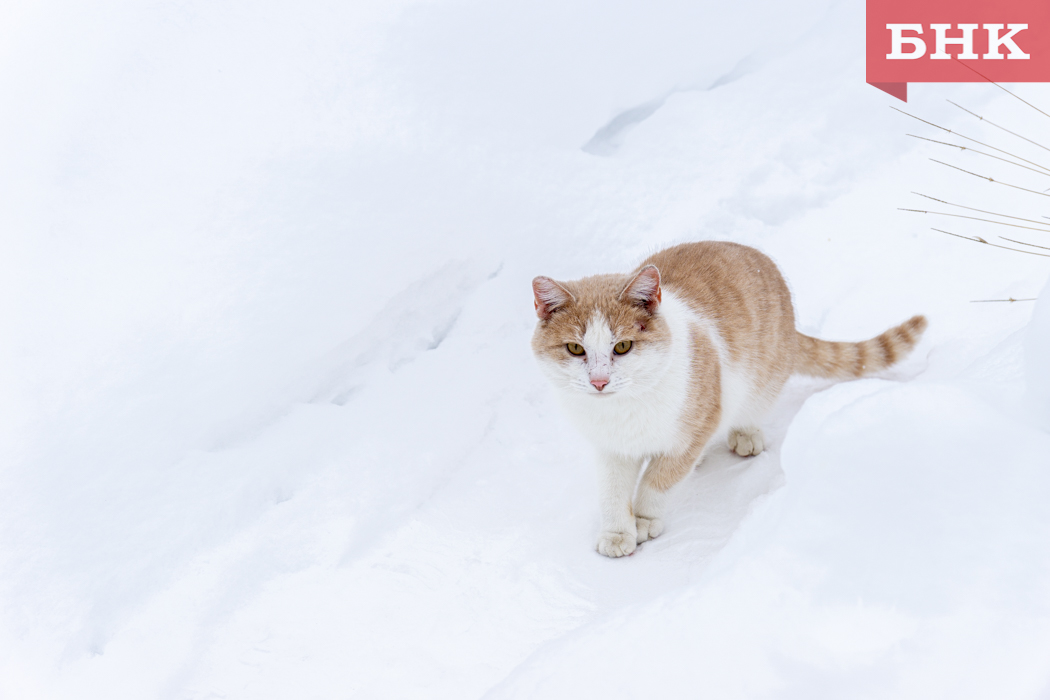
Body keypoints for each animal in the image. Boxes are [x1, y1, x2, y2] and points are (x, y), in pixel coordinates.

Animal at [533, 241, 928, 558]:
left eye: (622, 346)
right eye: (575, 349)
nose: (599, 381)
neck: (624, 408)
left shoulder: (697, 424)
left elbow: (658, 481)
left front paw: (644, 518)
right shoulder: (611, 449)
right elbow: (612, 492)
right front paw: (617, 532)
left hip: (762, 378)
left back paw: (744, 435)